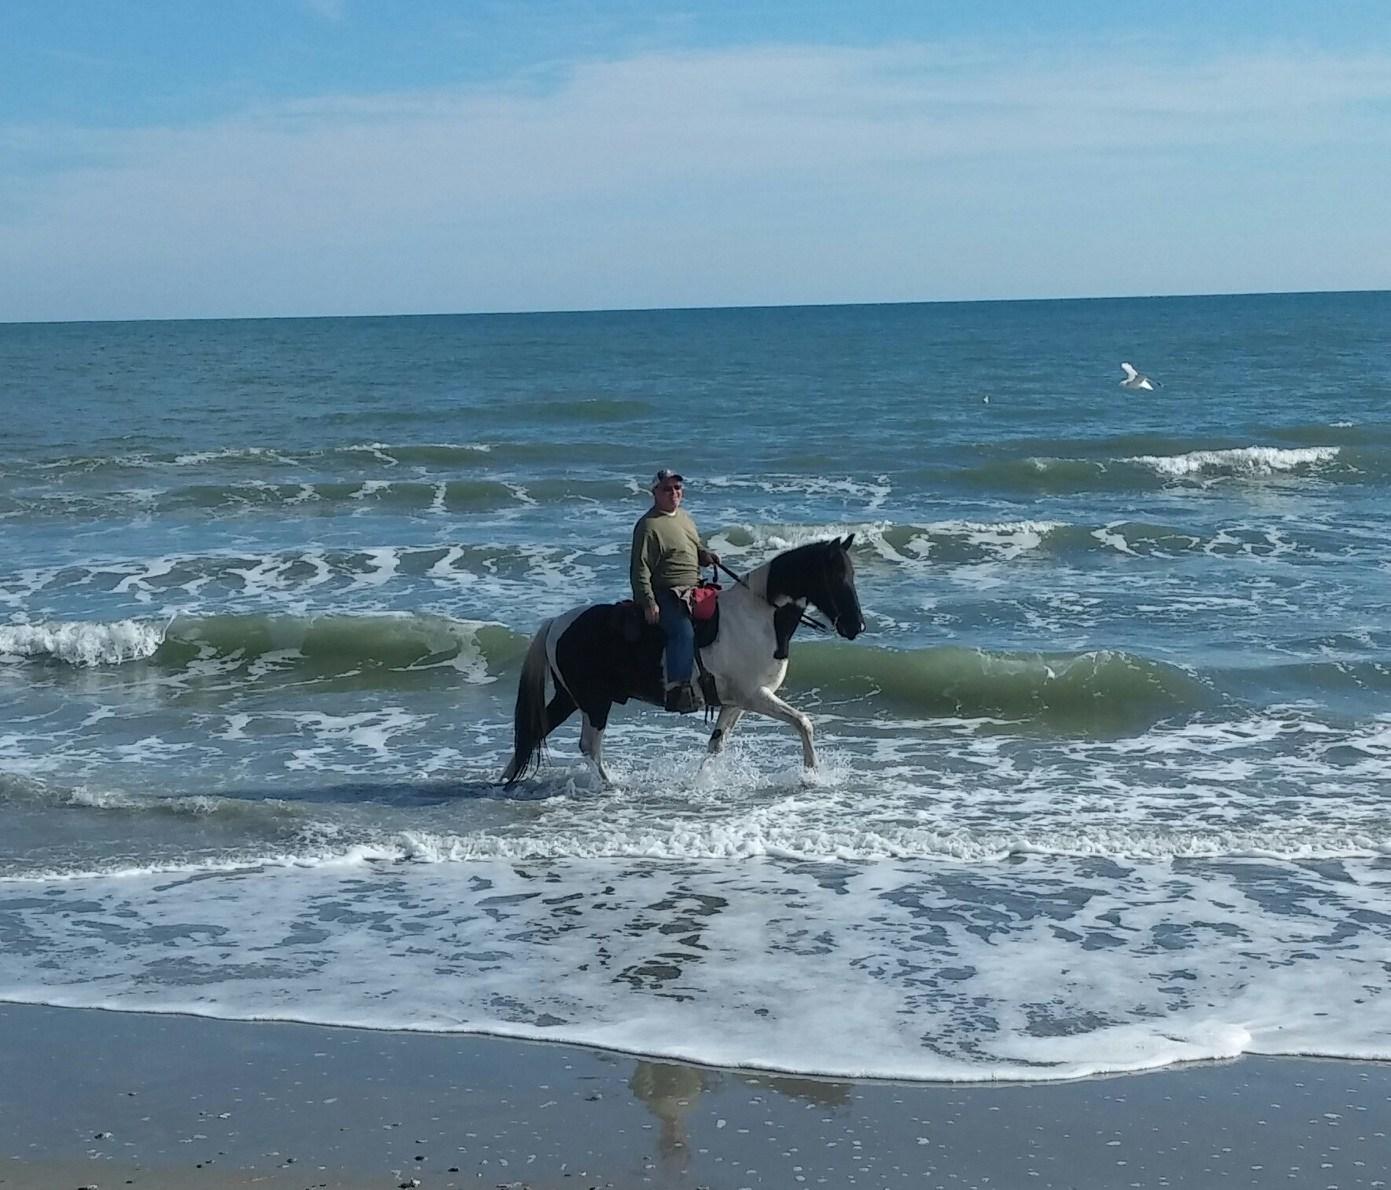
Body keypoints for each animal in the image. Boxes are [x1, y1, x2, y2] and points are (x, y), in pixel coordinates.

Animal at [506, 534, 862, 784]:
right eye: (835, 577)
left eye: (852, 575)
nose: (856, 626)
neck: (758, 617)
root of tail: (557, 622)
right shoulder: (755, 696)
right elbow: (803, 722)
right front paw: (812, 773)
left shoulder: (735, 702)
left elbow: (715, 746)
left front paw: (699, 780)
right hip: (595, 702)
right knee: (588, 746)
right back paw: (611, 786)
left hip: (570, 698)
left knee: (535, 732)